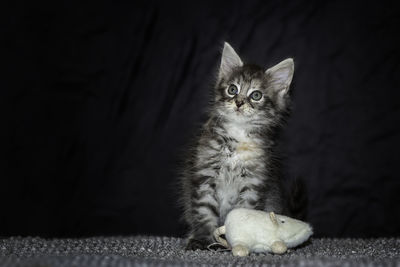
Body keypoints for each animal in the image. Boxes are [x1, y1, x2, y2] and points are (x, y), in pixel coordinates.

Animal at [179, 42, 294, 251]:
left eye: (256, 95)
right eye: (232, 89)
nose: (239, 102)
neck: (238, 137)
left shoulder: (253, 183)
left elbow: (245, 215)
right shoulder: (205, 176)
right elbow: (204, 212)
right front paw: (202, 239)